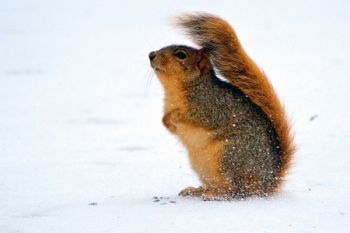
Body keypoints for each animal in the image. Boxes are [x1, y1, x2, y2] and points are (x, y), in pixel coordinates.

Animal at [148, 12, 296, 199]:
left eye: (180, 55)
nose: (151, 54)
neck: (176, 91)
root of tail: (266, 184)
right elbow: (170, 126)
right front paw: (165, 121)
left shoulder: (212, 106)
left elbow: (197, 116)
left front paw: (173, 116)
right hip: (204, 166)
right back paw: (197, 190)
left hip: (229, 156)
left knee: (235, 191)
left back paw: (215, 195)